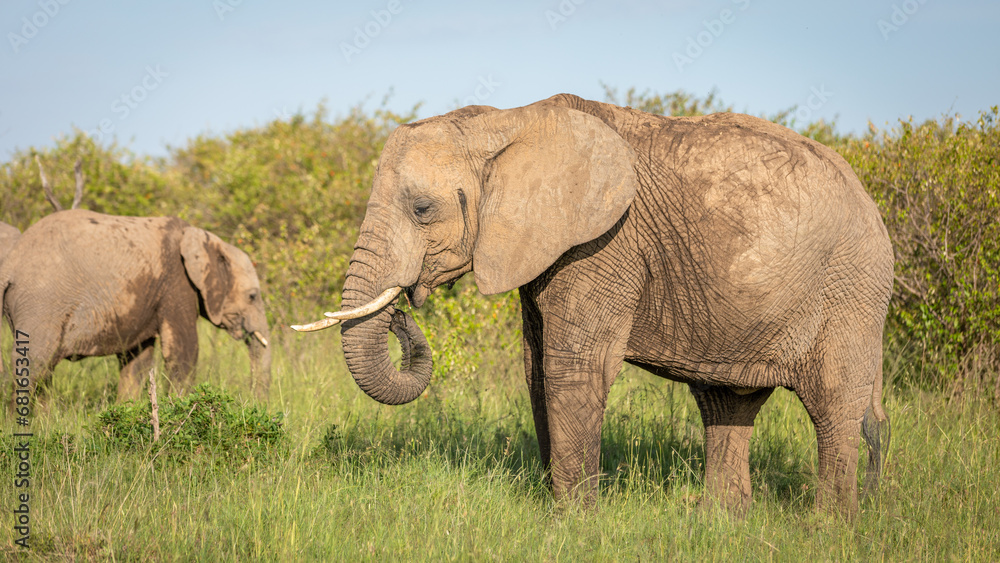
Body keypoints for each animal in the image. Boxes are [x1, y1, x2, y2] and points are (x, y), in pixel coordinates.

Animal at [1, 209, 271, 402]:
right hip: (41, 303)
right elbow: (183, 352)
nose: (256, 403)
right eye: (252, 296)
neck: (205, 239)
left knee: (45, 370)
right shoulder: (177, 283)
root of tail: (11, 263)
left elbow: (137, 361)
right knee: (33, 362)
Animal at [292, 94, 894, 516]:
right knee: (726, 404)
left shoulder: (604, 242)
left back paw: (827, 528)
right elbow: (536, 369)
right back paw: (719, 522)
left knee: (833, 404)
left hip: (852, 287)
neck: (506, 121)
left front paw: (574, 524)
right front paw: (559, 510)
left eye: (421, 208)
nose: (401, 310)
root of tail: (869, 197)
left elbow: (572, 367)